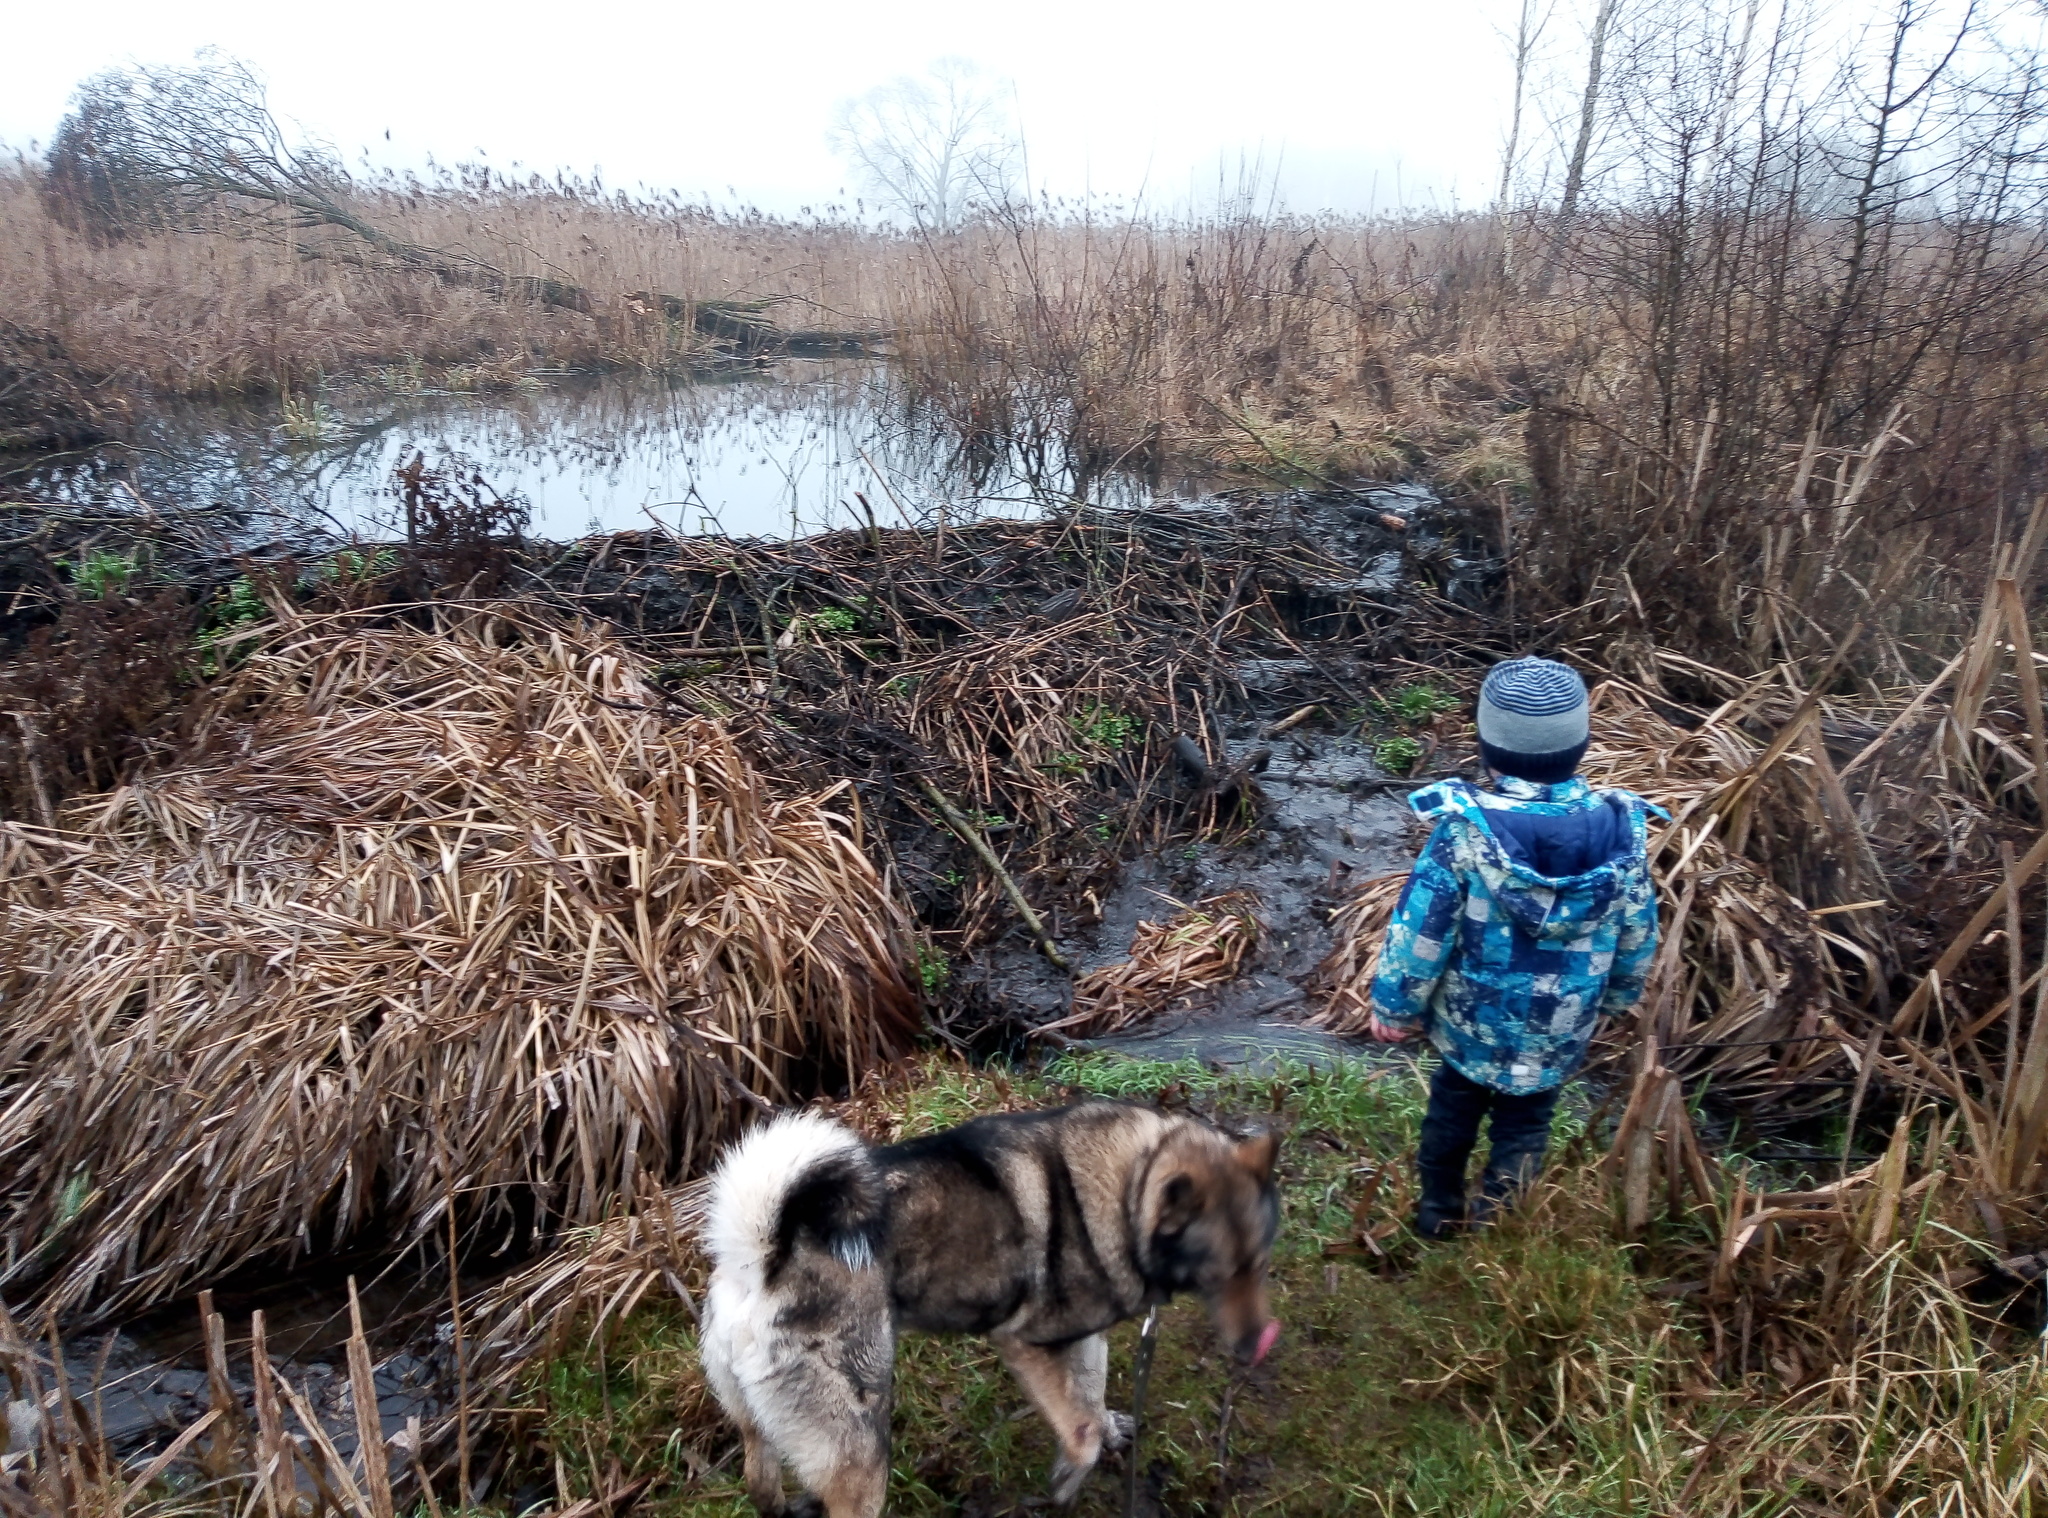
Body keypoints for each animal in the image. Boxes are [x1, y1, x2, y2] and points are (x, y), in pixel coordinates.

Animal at [704, 1098, 1277, 1515]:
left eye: (1259, 1265)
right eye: (1218, 1276)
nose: (1258, 1345)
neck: (1128, 1189)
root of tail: (763, 1260)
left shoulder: (1082, 1337)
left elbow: (1091, 1395)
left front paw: (1110, 1429)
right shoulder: (1025, 1346)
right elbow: (1081, 1432)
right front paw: (1066, 1481)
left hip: (757, 1423)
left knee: (760, 1481)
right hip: (860, 1453)